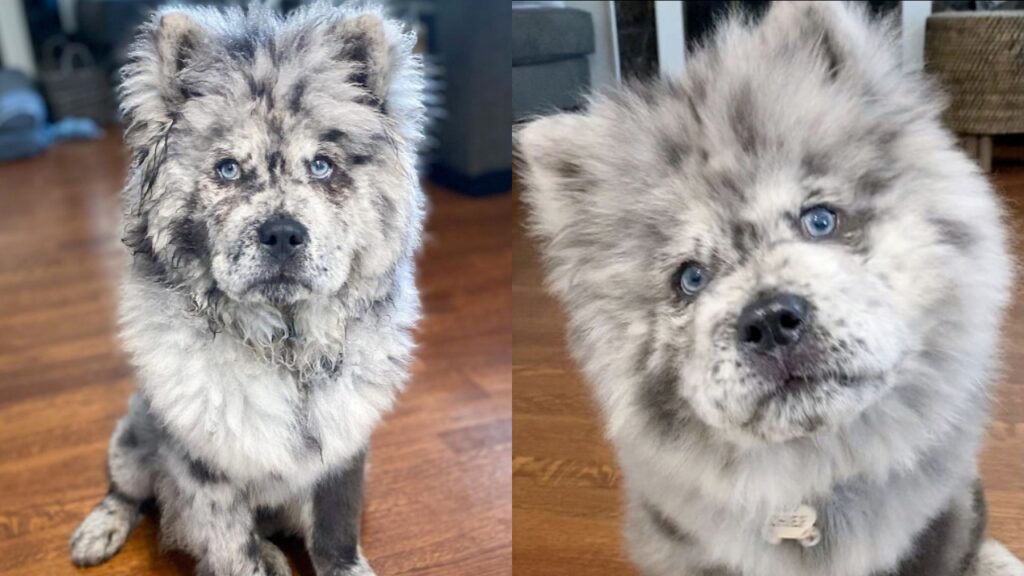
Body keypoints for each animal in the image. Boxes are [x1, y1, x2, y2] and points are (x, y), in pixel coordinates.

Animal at [70, 2, 423, 569]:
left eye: (322, 166)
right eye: (229, 169)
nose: (281, 233)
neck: (285, 348)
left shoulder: (343, 450)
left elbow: (336, 535)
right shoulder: (205, 470)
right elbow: (235, 550)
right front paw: (257, 562)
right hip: (134, 440)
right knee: (125, 492)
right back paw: (97, 533)